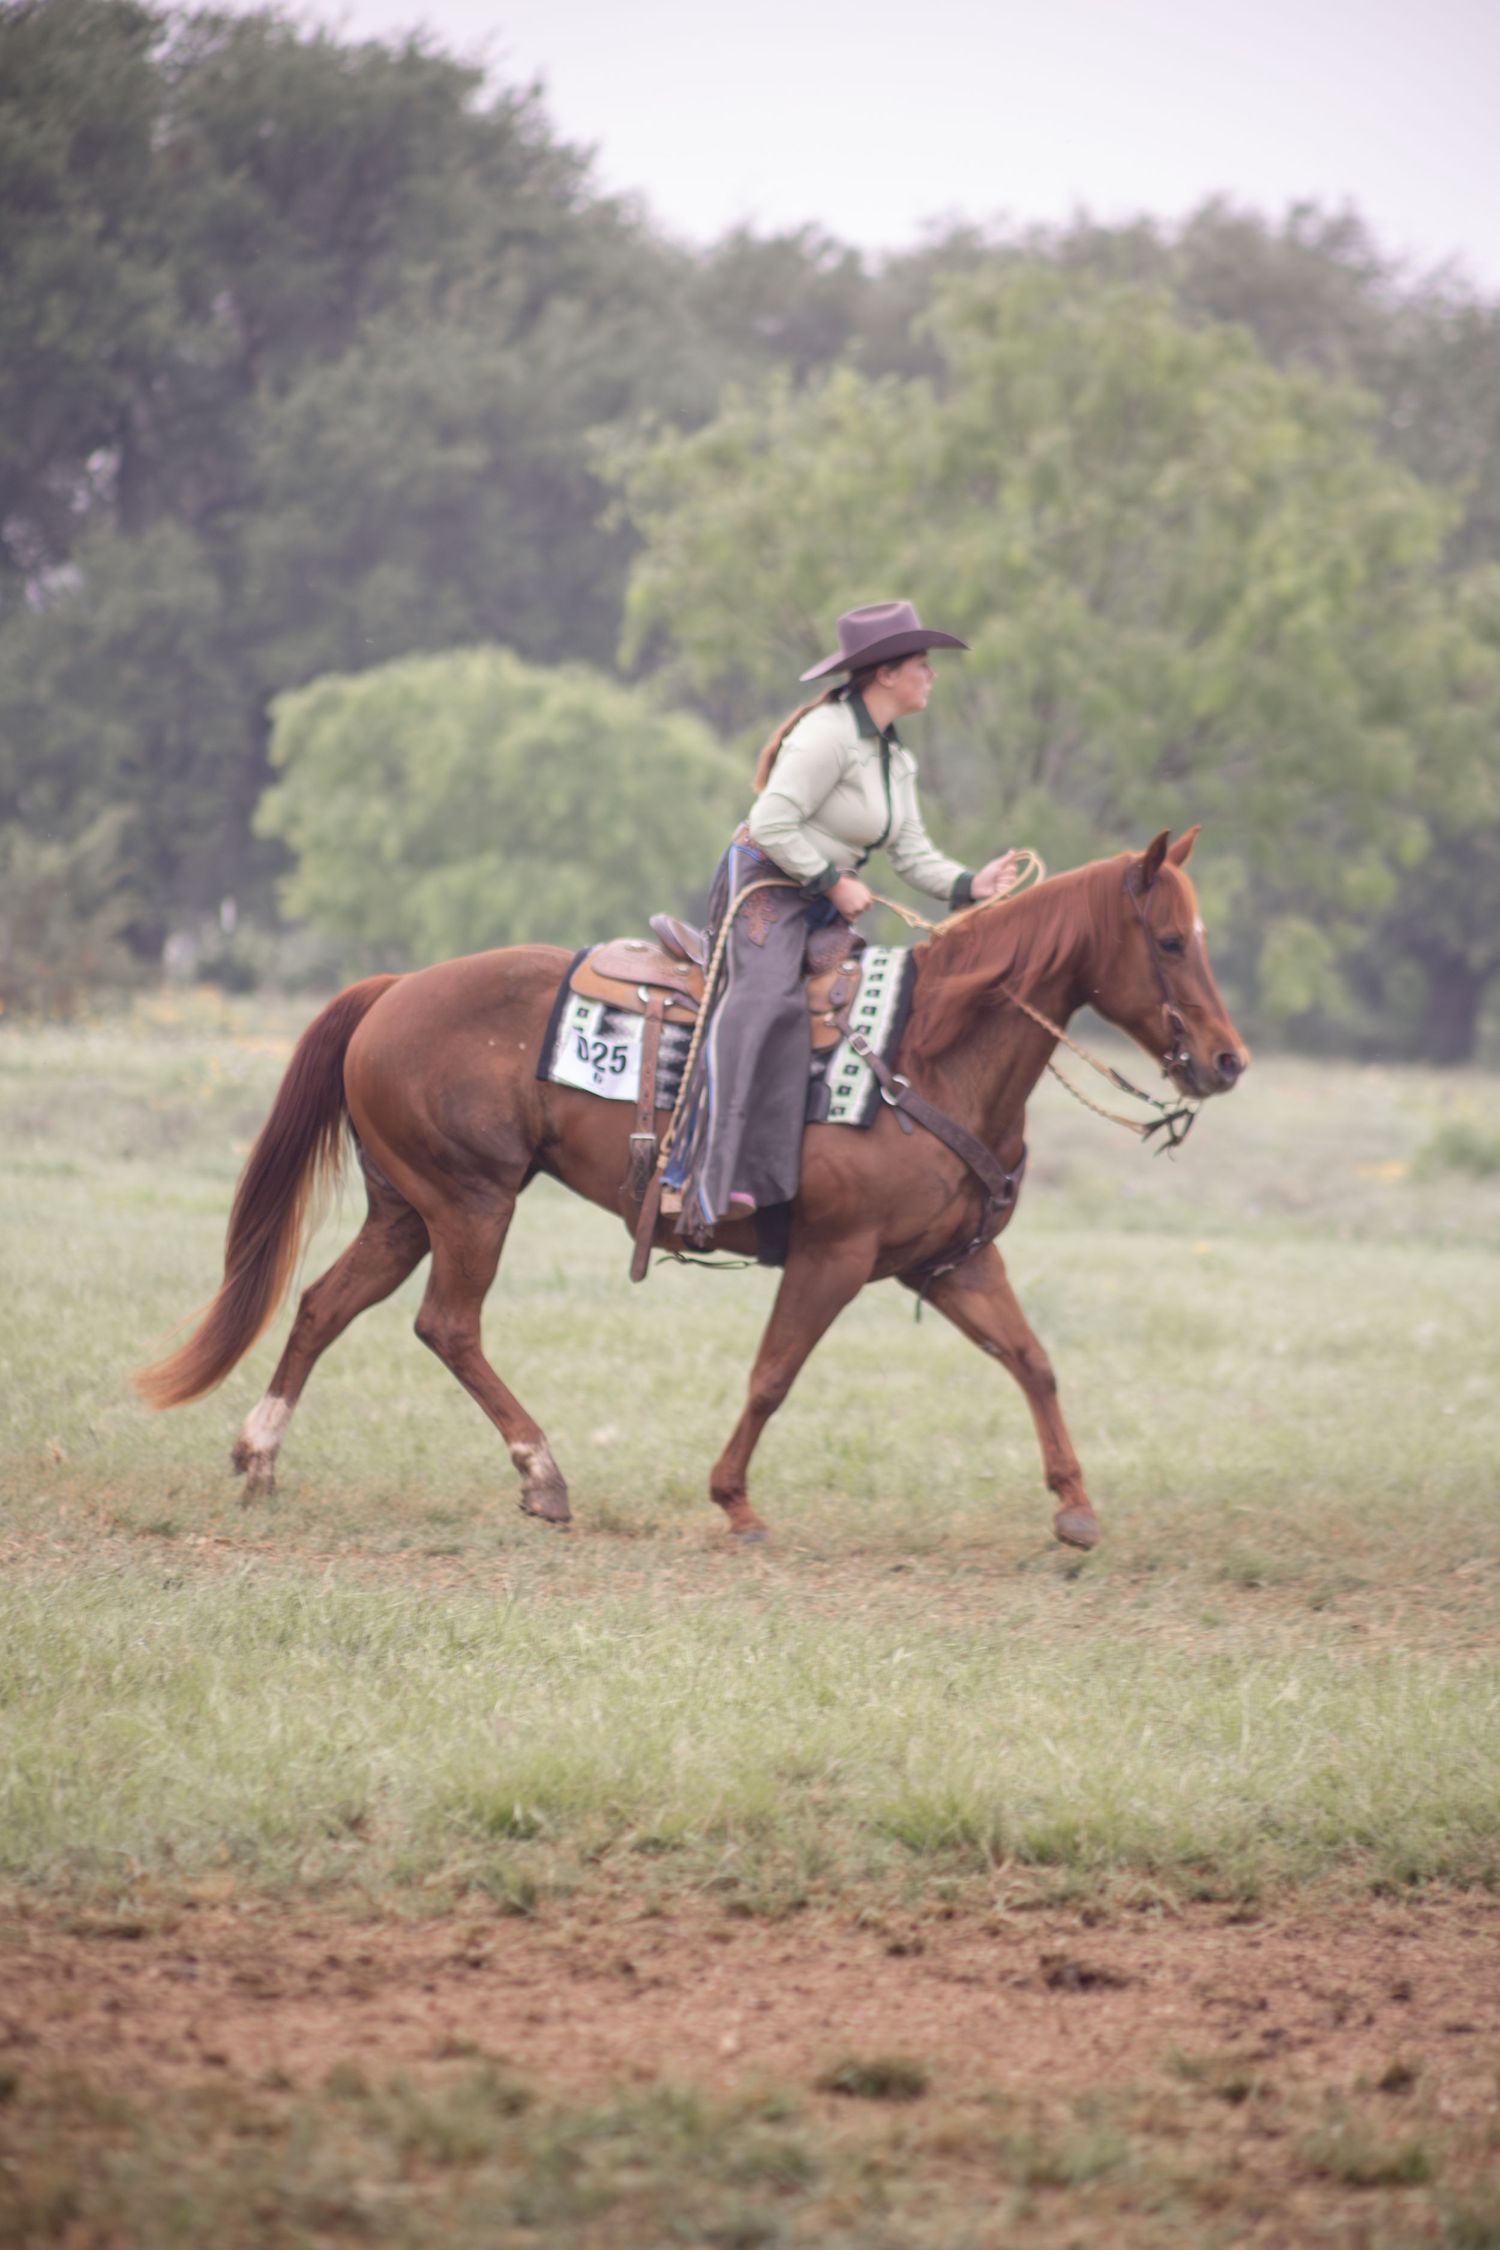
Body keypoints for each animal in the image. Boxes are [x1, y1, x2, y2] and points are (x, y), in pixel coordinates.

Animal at [136, 827, 1247, 1550]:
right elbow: (774, 1374)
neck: (926, 1051)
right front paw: (735, 1503)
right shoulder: (834, 1255)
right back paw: (544, 1476)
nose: (1227, 1061)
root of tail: (393, 988)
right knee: (446, 1326)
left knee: (325, 1305)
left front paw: (1074, 1506)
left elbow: (1033, 1361)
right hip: (472, 1204)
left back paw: (260, 1458)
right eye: (1169, 941)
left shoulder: (948, 1264)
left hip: (406, 1208)